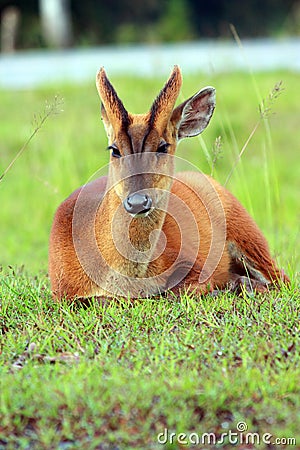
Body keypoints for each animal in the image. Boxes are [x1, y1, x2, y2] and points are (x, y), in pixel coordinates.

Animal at [48, 66, 288, 298]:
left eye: (163, 146)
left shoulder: (189, 262)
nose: (137, 202)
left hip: (248, 233)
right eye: (114, 149)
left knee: (281, 278)